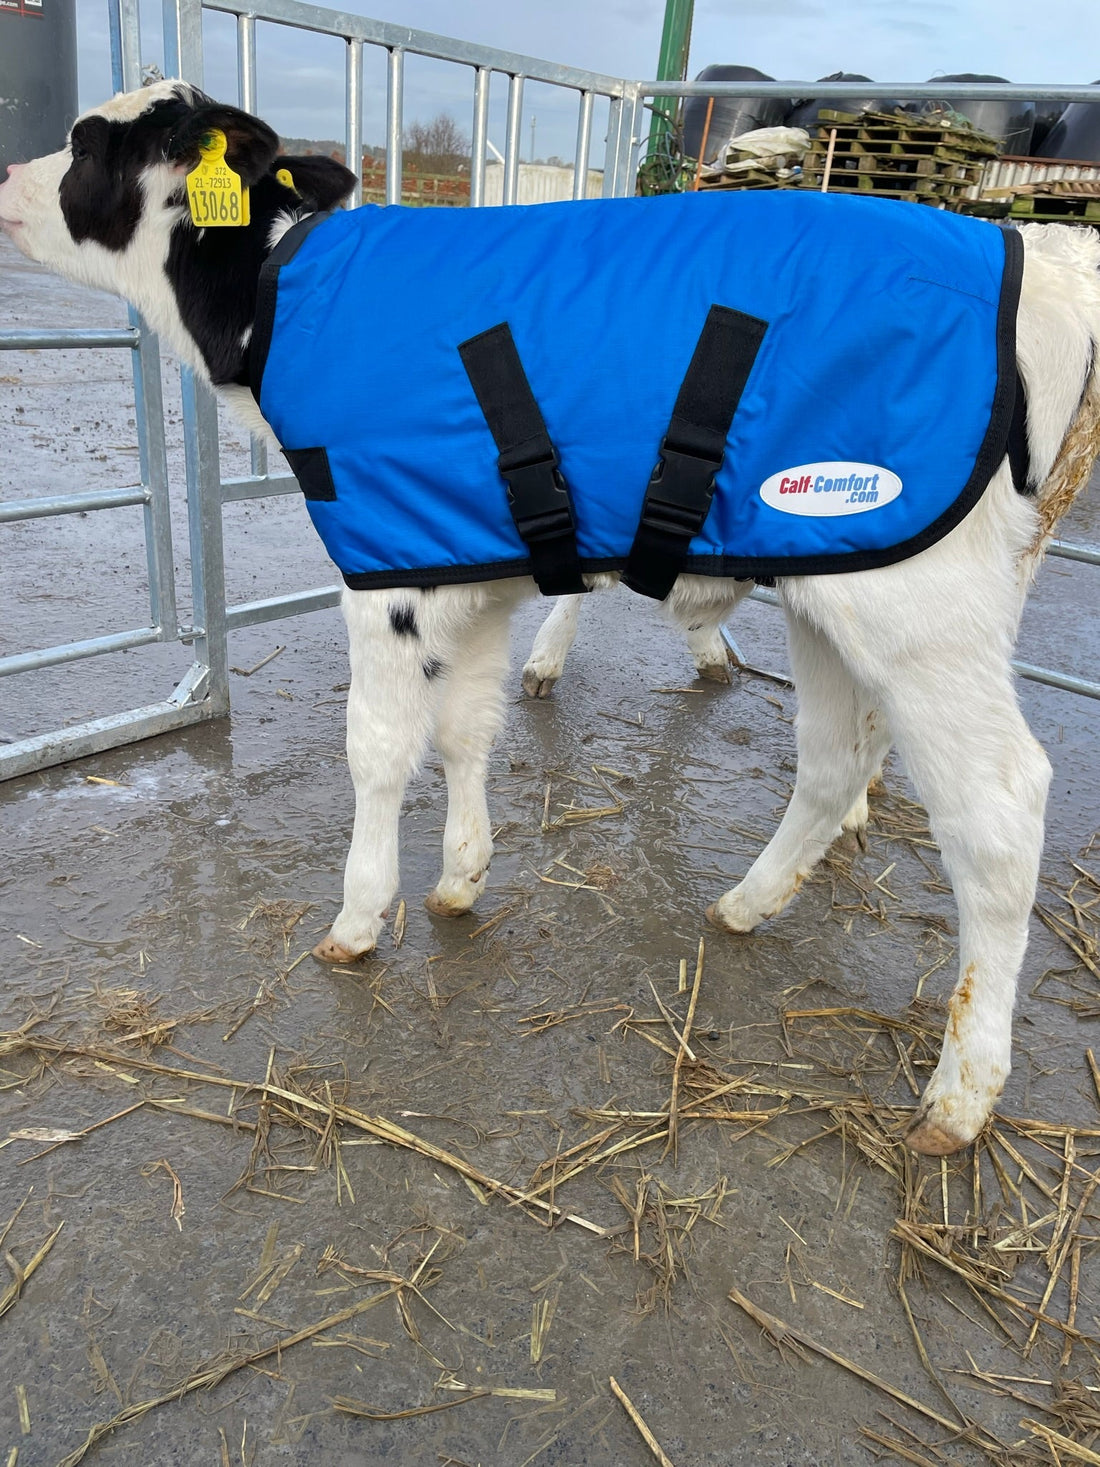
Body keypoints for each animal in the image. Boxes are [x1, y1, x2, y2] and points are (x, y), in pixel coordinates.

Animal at [3, 80, 1098, 1157]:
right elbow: (465, 728)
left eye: (88, 142)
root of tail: (1038, 262)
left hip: (922, 606)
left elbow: (379, 747)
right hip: (832, 582)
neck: (278, 294)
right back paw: (745, 905)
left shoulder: (384, 578)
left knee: (999, 809)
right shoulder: (464, 567)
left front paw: (358, 916)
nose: (10, 177)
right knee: (836, 756)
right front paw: (460, 878)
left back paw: (960, 1094)